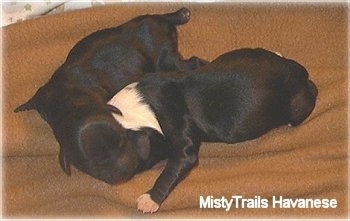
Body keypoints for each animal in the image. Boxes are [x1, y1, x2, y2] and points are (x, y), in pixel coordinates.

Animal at [14, 8, 208, 180]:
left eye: (122, 141)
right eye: (95, 165)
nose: (128, 170)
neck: (68, 106)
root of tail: (158, 23)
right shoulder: (45, 97)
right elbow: (36, 98)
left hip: (164, 59)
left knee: (191, 63)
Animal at [106, 48, 318, 212]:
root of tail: (299, 71)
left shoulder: (183, 143)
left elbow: (171, 171)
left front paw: (150, 199)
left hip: (298, 106)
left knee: (311, 93)